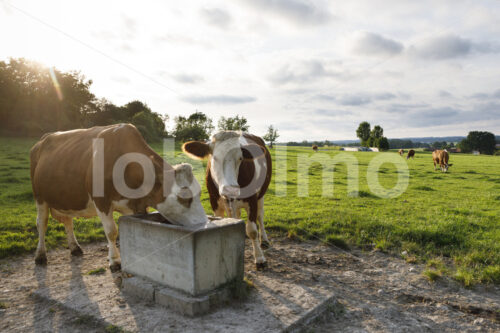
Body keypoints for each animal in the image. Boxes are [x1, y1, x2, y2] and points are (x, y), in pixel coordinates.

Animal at [29, 122, 207, 270]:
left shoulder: (138, 205)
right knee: (41, 223)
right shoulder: (101, 201)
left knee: (68, 221)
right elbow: (111, 231)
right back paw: (40, 255)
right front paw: (115, 260)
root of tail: (42, 140)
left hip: (65, 198)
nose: (204, 224)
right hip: (39, 197)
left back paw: (74, 247)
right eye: (185, 197)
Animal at [182, 131, 272, 268]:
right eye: (214, 157)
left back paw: (265, 239)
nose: (230, 189)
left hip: (261, 195)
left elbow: (252, 230)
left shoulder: (252, 200)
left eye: (240, 158)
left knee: (260, 216)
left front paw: (259, 258)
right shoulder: (214, 202)